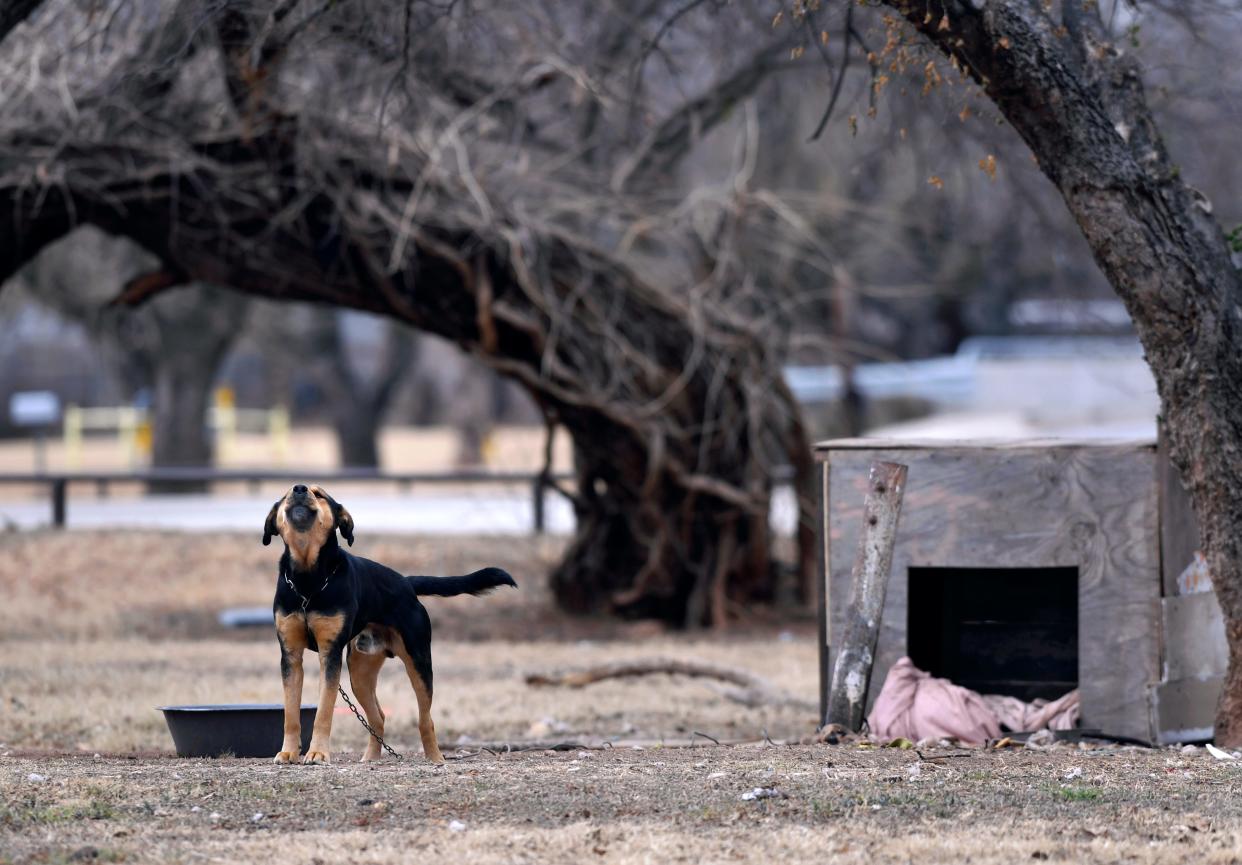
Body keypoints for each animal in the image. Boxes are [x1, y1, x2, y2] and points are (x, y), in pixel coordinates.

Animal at [262, 487, 514, 765]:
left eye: (319, 494)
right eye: (285, 495)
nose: (299, 488)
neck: (308, 580)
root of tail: (406, 583)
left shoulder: (330, 654)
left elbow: (324, 712)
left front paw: (317, 753)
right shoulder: (290, 655)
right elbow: (290, 714)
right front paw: (288, 752)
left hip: (418, 661)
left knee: (426, 719)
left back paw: (436, 758)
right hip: (360, 670)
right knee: (379, 717)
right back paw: (370, 758)